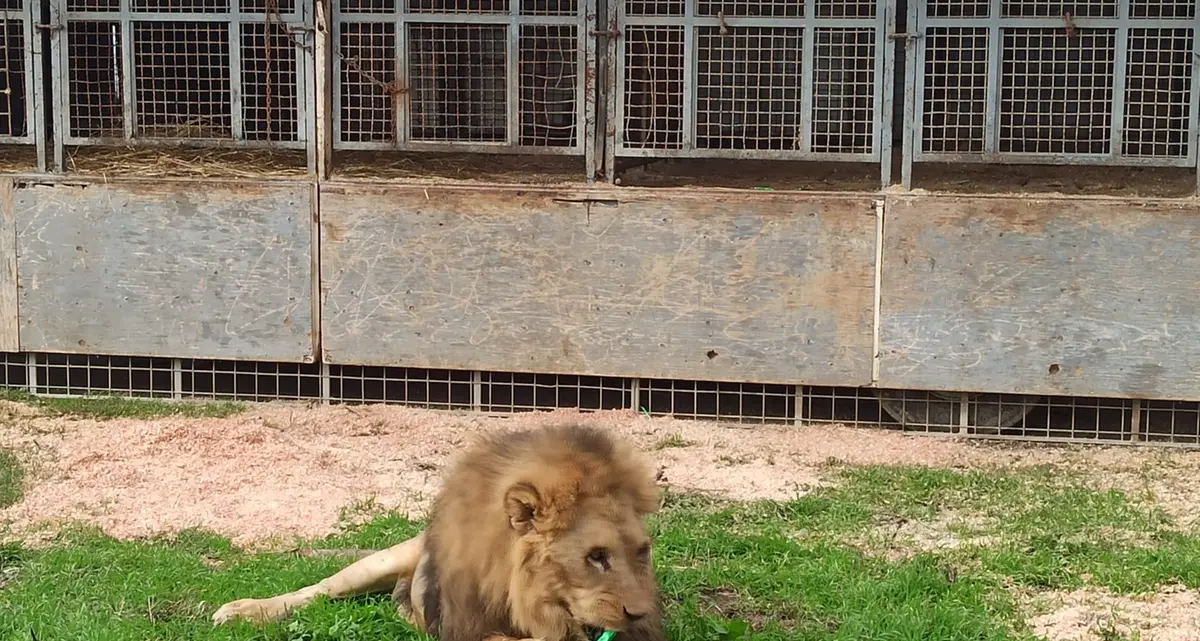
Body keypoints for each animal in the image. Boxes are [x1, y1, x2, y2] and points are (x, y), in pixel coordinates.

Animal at [211, 423, 667, 641]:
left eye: (641, 552)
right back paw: (242, 610)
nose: (641, 615)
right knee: (317, 590)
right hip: (381, 562)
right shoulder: (466, 630)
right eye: (595, 556)